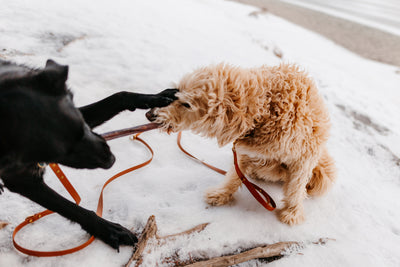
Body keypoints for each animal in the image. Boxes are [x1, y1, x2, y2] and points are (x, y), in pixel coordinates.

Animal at [0, 59, 178, 252]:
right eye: (61, 152)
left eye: (83, 128)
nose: (112, 160)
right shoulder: (23, 180)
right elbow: (72, 208)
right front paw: (109, 230)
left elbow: (119, 96)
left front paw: (157, 96)